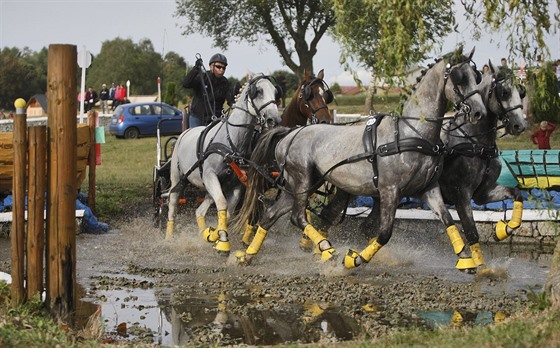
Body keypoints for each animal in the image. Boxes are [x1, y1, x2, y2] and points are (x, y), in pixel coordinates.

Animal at [232, 47, 486, 272]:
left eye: (477, 76)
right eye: (460, 78)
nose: (479, 113)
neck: (411, 134)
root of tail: (289, 133)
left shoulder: (429, 189)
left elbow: (449, 221)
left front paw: (466, 260)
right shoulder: (389, 191)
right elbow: (384, 233)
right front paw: (353, 260)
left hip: (298, 186)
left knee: (271, 216)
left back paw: (248, 255)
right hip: (302, 180)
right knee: (297, 217)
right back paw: (326, 249)